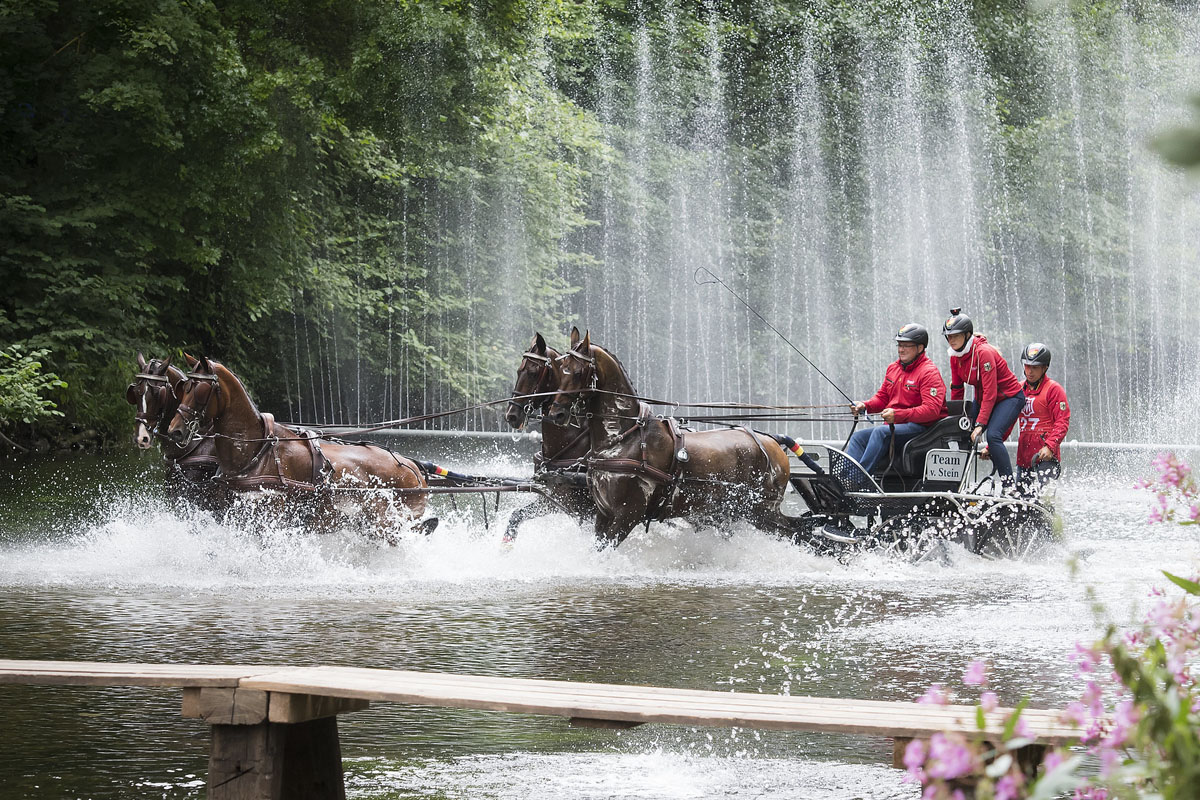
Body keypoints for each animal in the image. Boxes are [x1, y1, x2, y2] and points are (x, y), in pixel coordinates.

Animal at [166, 355, 432, 532]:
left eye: (200, 389)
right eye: (183, 387)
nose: (175, 431)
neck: (256, 452)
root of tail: (412, 467)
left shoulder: (269, 511)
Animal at [547, 328, 792, 546]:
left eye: (578, 372)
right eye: (562, 367)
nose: (556, 413)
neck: (623, 438)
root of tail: (773, 444)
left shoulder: (627, 514)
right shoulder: (603, 512)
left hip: (761, 511)